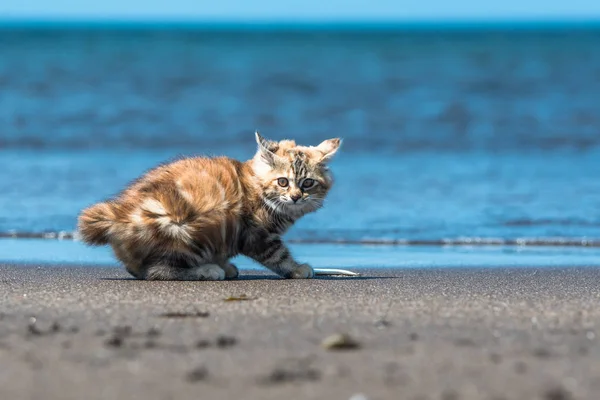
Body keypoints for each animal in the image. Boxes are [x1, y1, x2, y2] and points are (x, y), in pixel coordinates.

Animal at [79, 133, 340, 280]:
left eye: (307, 183)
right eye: (283, 182)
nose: (296, 197)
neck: (255, 186)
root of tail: (118, 216)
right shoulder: (256, 234)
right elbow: (278, 255)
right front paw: (296, 269)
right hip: (182, 226)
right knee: (157, 272)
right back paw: (206, 270)